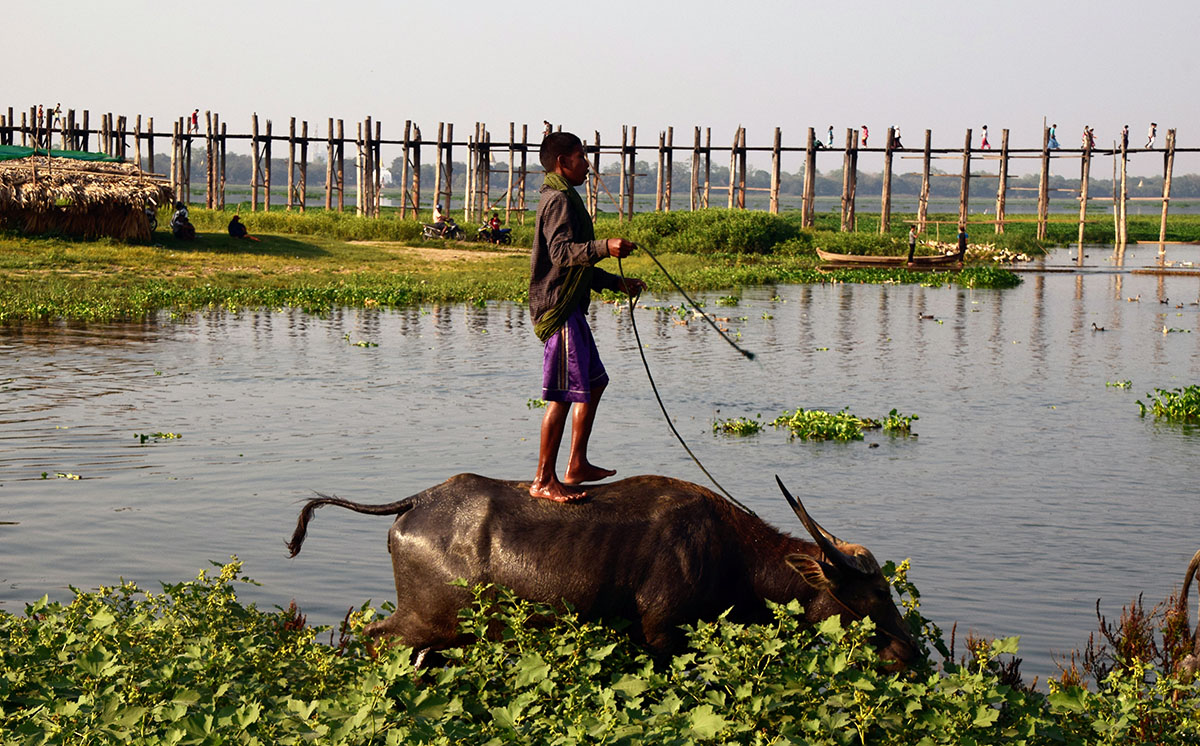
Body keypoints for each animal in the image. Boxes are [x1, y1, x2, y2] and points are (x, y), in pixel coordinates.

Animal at [288, 472, 916, 666]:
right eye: (871, 598)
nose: (909, 655)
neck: (732, 556)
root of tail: (416, 501)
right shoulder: (663, 634)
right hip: (424, 621)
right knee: (368, 635)